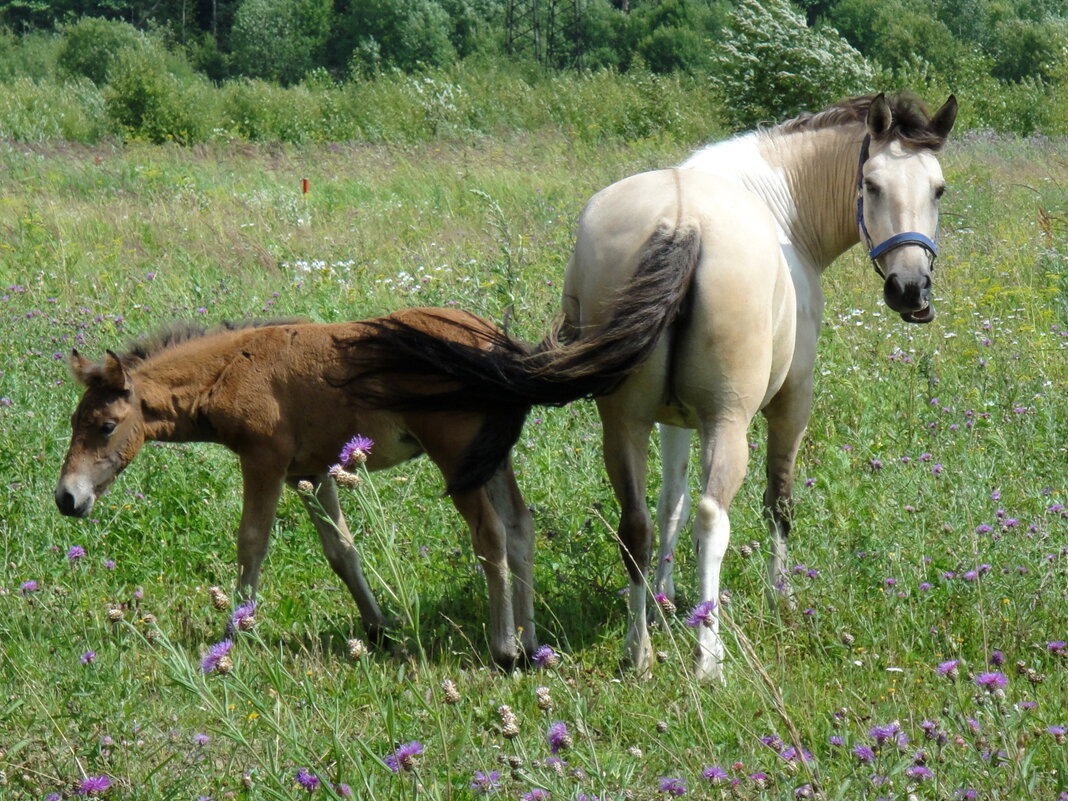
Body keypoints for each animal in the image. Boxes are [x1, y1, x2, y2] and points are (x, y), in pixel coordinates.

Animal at [348, 92, 961, 683]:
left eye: (938, 189)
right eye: (872, 185)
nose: (910, 289)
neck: (777, 202)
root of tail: (681, 221)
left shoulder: (671, 419)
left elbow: (671, 505)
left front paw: (665, 598)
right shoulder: (790, 402)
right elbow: (775, 503)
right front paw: (778, 595)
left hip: (625, 422)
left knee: (637, 525)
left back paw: (637, 650)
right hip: (726, 424)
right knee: (714, 519)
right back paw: (708, 657)